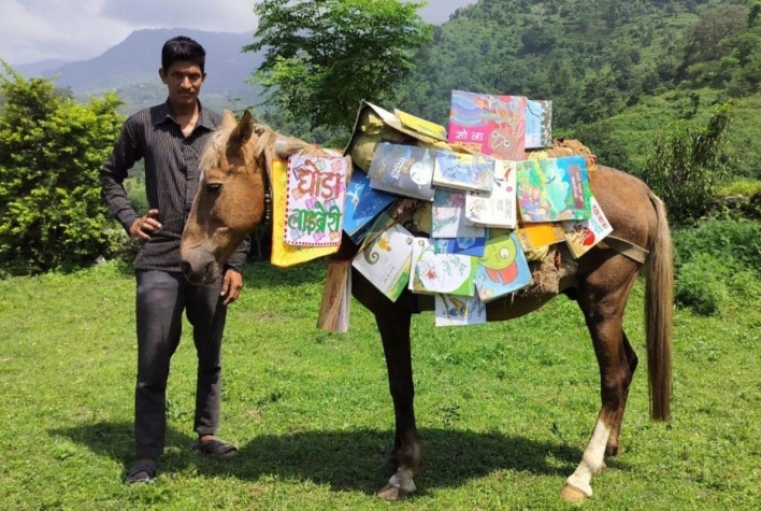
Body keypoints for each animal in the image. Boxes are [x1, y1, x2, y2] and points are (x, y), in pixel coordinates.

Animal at [180, 109, 672, 504]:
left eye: (214, 186)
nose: (188, 262)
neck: (360, 211)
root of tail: (641, 190)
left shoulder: (392, 314)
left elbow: (402, 387)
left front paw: (404, 472)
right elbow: (396, 386)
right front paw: (396, 457)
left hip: (602, 302)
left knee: (613, 376)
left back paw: (582, 474)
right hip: (601, 304)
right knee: (629, 364)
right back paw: (607, 453)